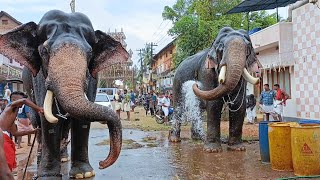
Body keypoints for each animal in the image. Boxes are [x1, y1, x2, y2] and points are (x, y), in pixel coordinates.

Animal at [0, 9, 129, 179]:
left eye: (90, 53)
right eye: (44, 51)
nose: (102, 163)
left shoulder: (93, 77)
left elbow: (81, 120)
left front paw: (84, 173)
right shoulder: (39, 78)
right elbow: (49, 119)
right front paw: (48, 176)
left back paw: (63, 158)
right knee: (37, 122)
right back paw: (41, 157)